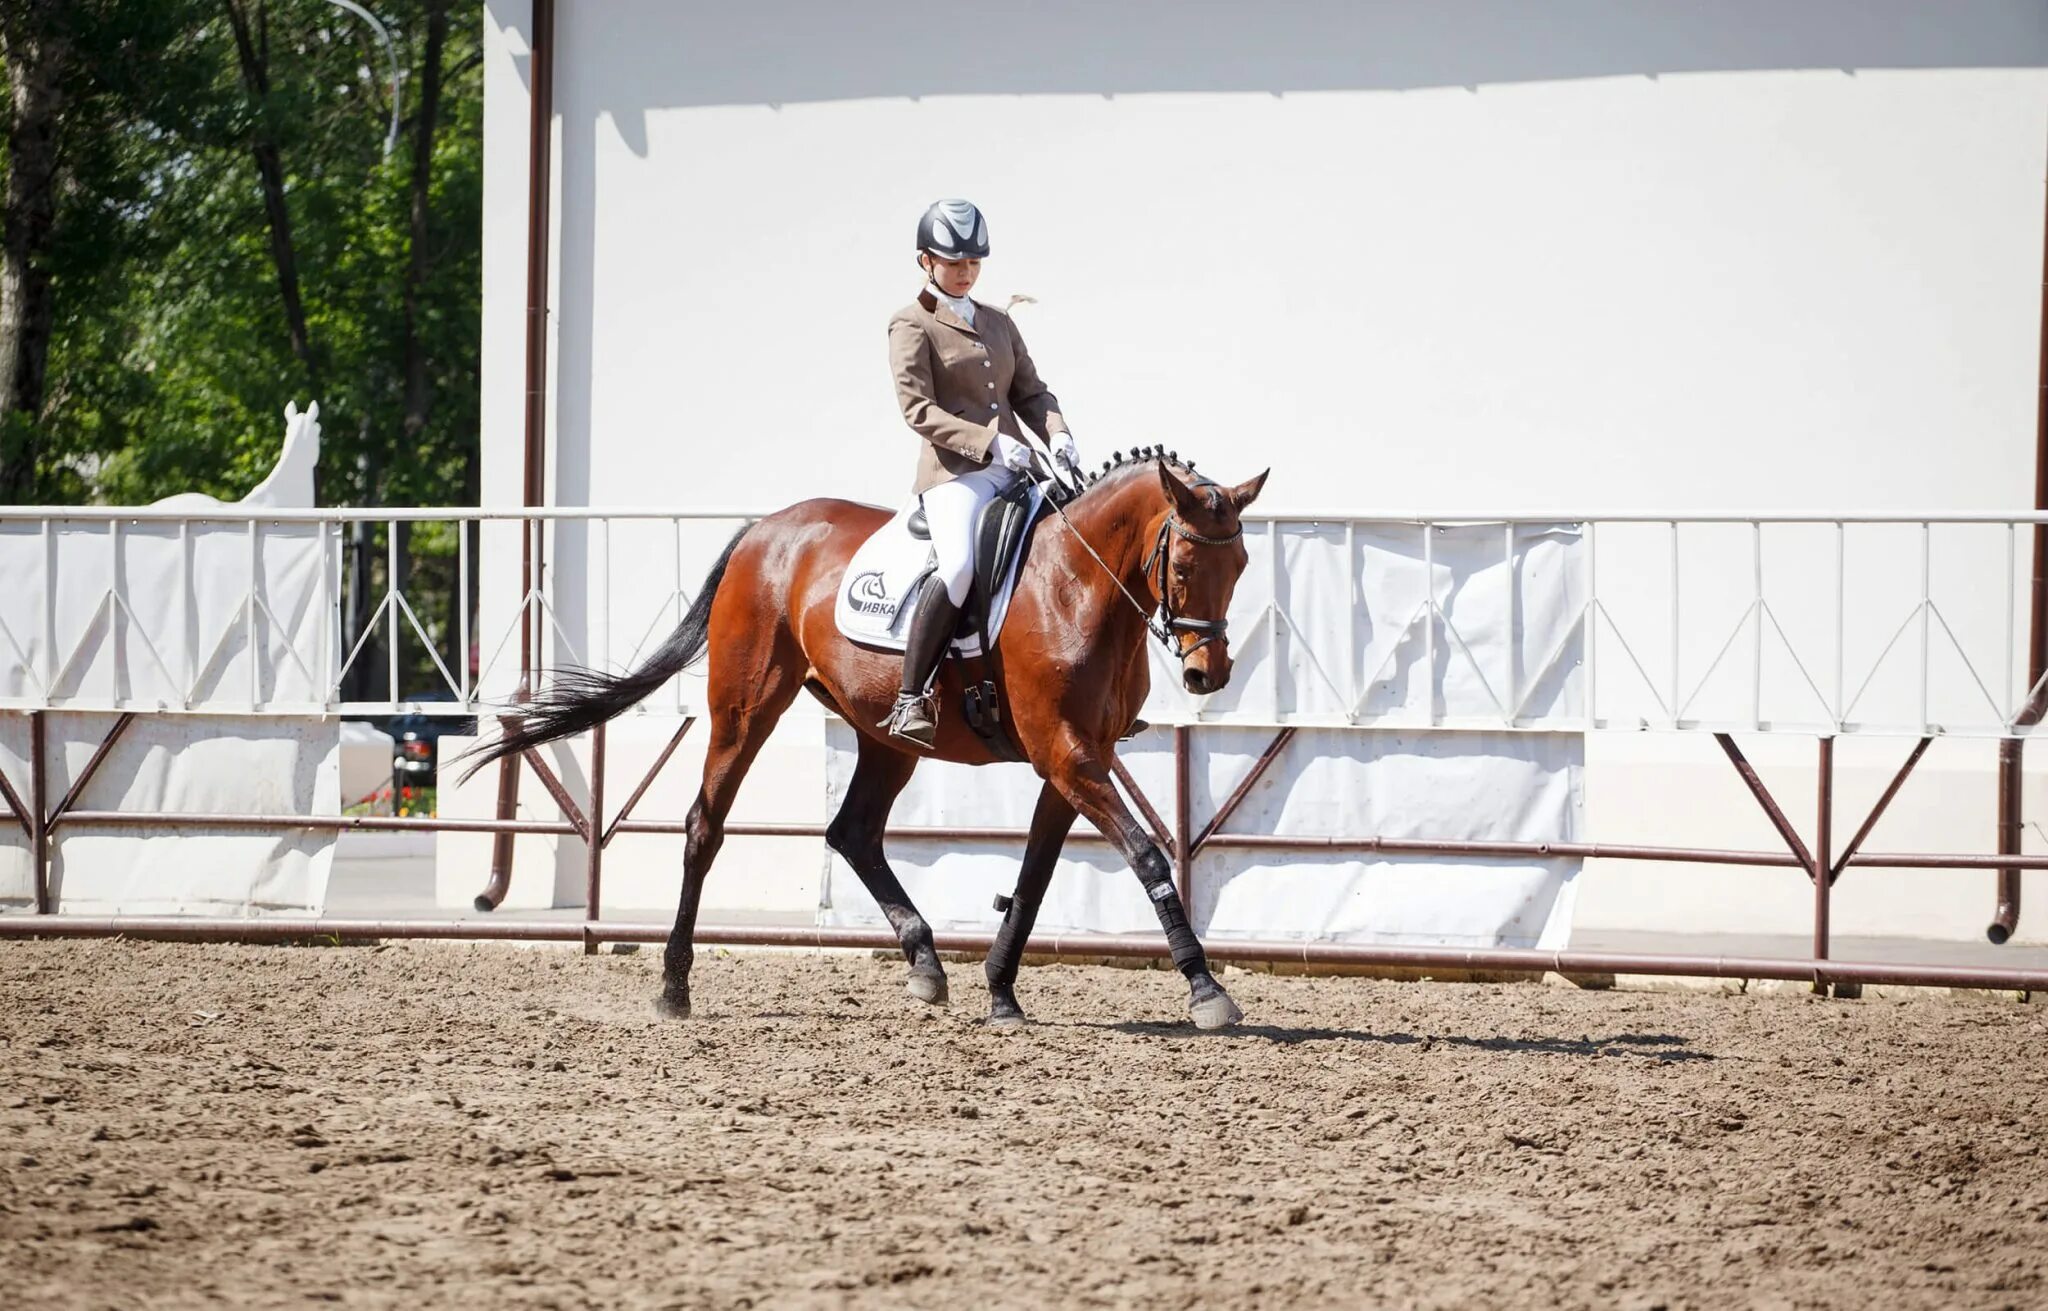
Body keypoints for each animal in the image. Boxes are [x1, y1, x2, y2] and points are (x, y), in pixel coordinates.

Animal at [464, 450, 1261, 1032]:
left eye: (1241, 567)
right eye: (1185, 566)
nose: (1209, 673)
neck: (1078, 583)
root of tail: (764, 529)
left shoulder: (1075, 759)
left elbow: (1034, 879)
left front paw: (1000, 991)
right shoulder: (1065, 751)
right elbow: (1146, 854)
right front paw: (1204, 987)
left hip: (885, 737)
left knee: (852, 831)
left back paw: (925, 961)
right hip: (745, 710)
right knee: (705, 826)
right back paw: (674, 985)